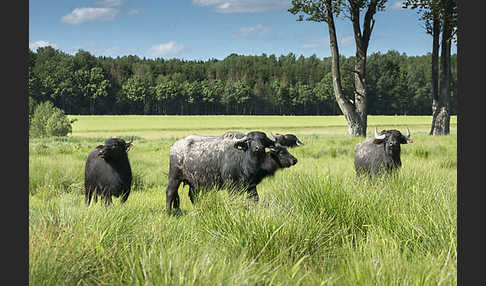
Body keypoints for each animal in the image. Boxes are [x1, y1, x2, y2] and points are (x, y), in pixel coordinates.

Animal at [165, 131, 298, 210]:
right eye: (250, 140)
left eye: (263, 139)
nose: (258, 148)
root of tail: (174, 147)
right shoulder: (231, 186)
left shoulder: (251, 186)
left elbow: (255, 199)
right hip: (174, 178)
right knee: (170, 193)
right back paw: (169, 212)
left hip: (194, 184)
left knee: (193, 196)